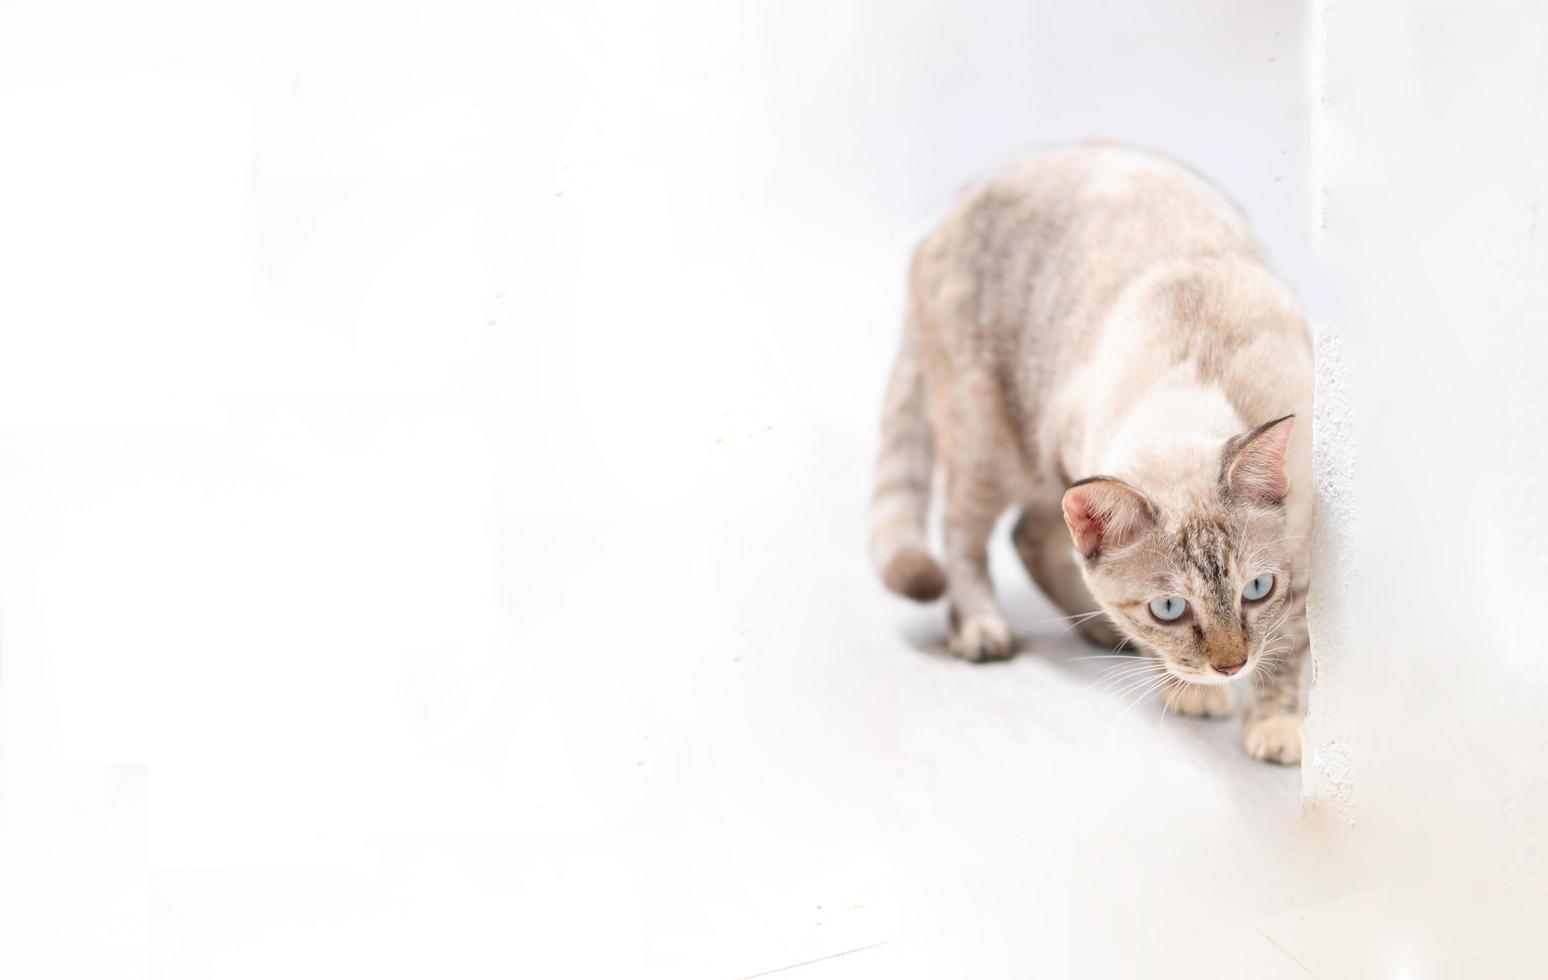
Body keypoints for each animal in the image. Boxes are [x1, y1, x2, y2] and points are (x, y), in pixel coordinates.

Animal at [866, 141, 1312, 761]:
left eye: (1256, 590)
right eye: (1168, 610)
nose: (1230, 667)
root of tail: (947, 215)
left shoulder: (1308, 547)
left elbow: (1289, 644)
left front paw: (1276, 725)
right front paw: (1189, 692)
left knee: (1027, 536)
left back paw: (1099, 630)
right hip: (992, 444)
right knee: (965, 541)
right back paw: (982, 629)